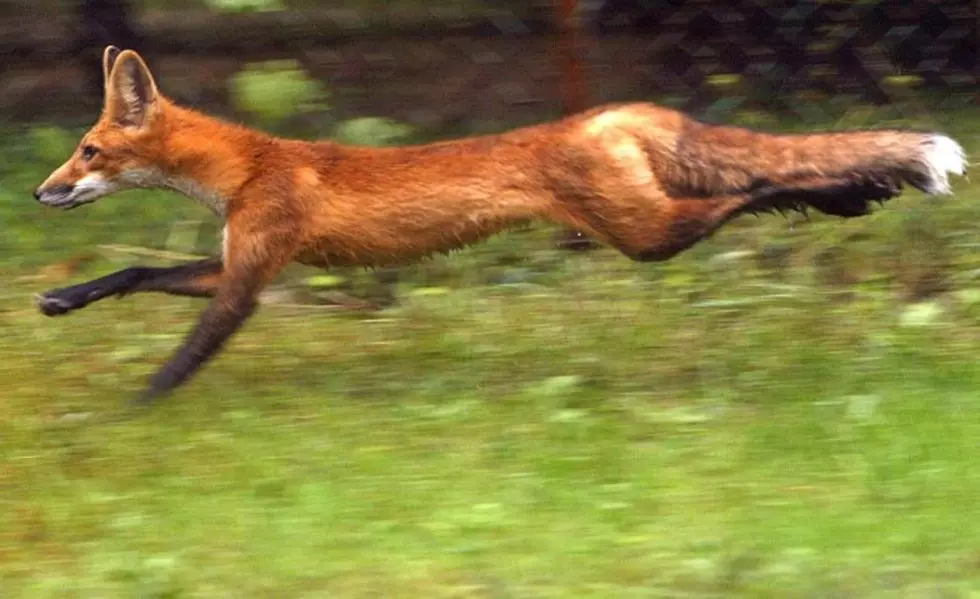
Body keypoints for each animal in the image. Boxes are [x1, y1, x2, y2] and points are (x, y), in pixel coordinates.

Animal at [36, 44, 964, 406]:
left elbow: (181, 359)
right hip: (649, 220)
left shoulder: (247, 282)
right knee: (756, 185)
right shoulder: (242, 261)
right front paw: (63, 301)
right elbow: (133, 274)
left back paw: (851, 191)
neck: (249, 168)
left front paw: (126, 417)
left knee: (759, 188)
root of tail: (616, 111)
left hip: (644, 235)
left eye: (86, 151)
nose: (43, 193)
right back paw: (850, 191)